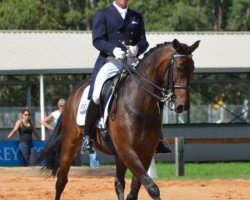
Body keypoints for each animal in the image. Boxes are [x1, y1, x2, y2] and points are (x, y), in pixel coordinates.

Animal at [36, 38, 200, 199]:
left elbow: (134, 191)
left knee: (118, 183)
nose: (182, 105)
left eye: (192, 69)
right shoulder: (127, 150)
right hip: (69, 145)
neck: (140, 104)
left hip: (117, 154)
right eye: (179, 68)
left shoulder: (145, 153)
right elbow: (152, 188)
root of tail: (74, 93)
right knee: (61, 181)